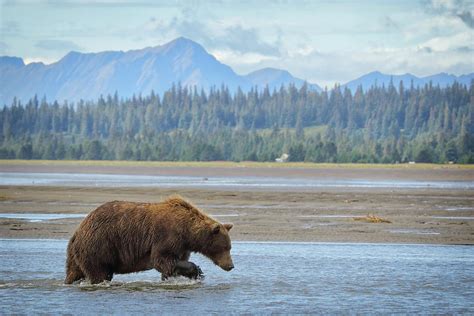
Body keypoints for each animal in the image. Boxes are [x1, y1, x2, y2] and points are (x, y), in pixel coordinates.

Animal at [64, 195, 234, 284]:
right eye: (225, 247)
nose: (231, 266)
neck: (187, 232)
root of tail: (78, 230)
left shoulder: (182, 246)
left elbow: (172, 265)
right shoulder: (167, 236)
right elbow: (161, 260)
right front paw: (197, 271)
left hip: (80, 252)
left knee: (75, 271)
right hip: (100, 245)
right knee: (99, 272)